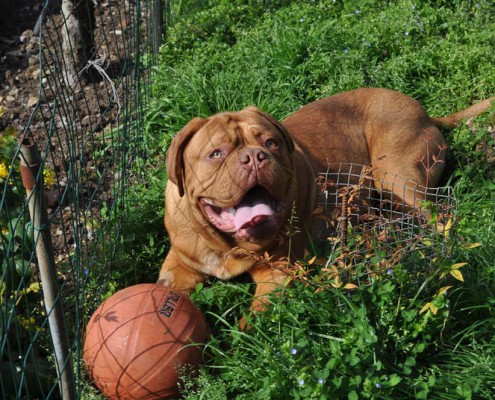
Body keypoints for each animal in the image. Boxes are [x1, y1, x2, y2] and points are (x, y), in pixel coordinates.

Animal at [161, 87, 494, 312]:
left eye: (270, 143)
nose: (255, 157)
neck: (228, 246)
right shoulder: (179, 265)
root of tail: (425, 113)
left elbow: (254, 320)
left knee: (438, 217)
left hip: (395, 177)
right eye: (216, 153)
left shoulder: (277, 274)